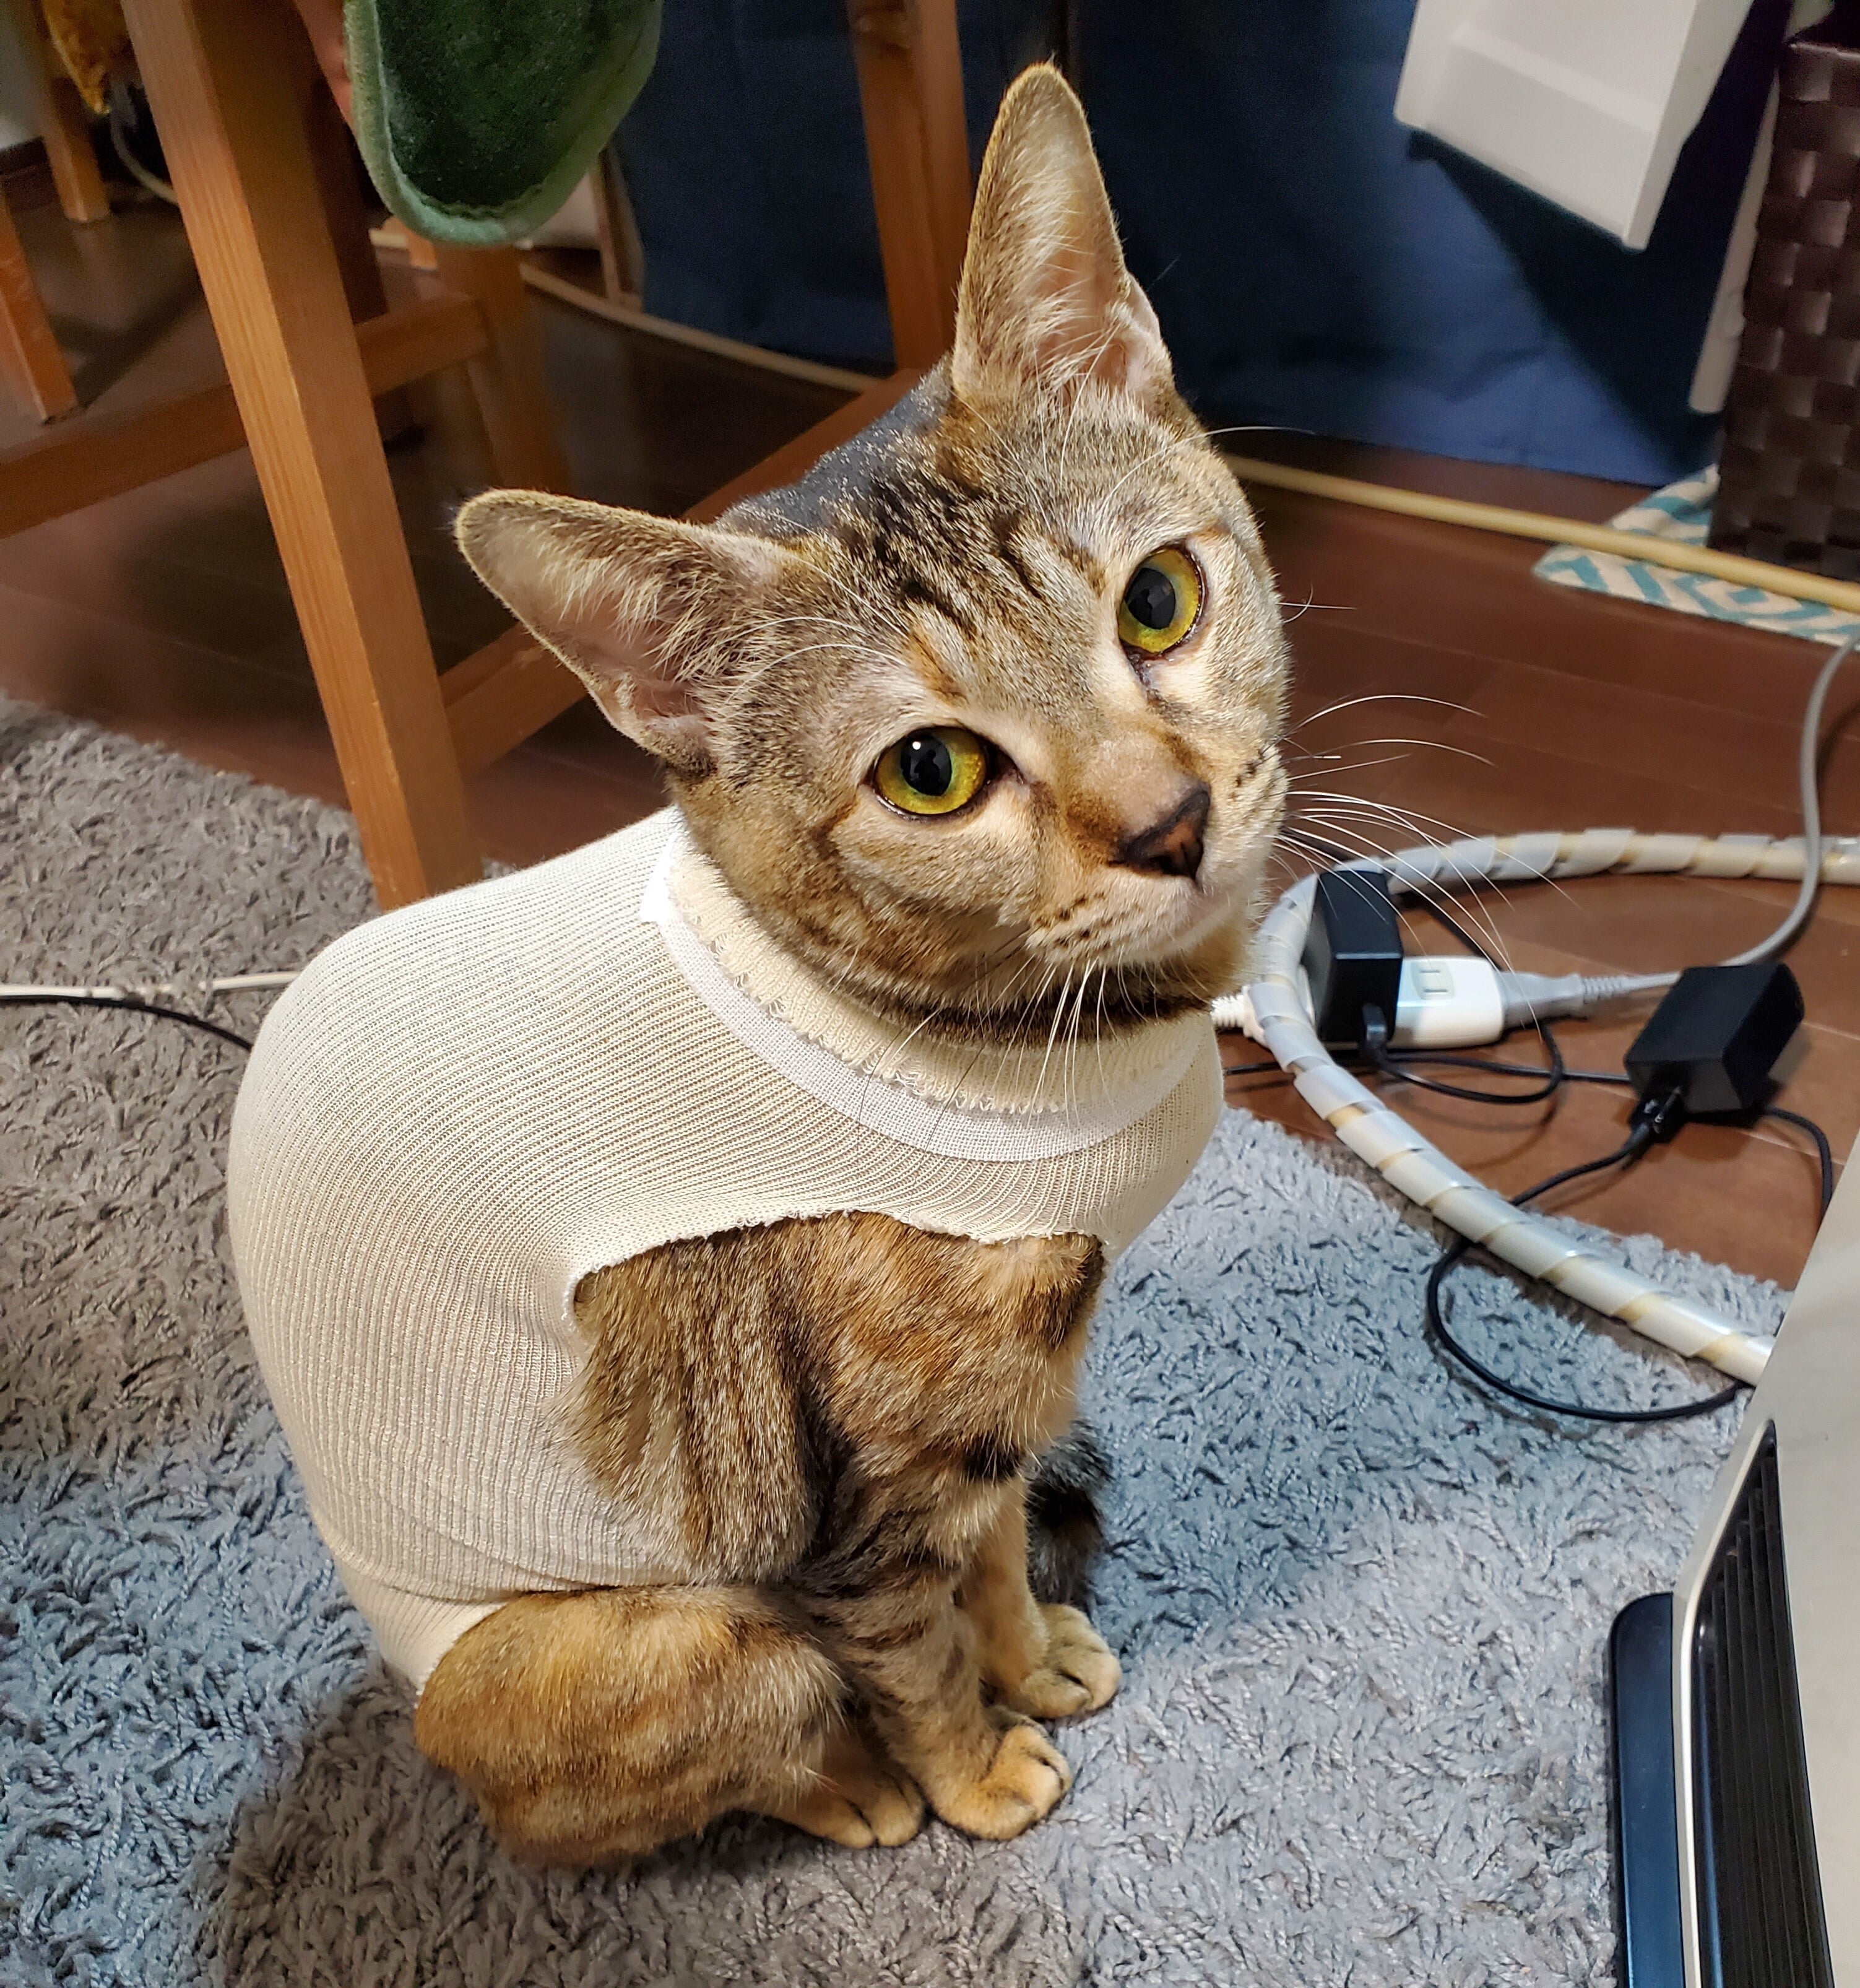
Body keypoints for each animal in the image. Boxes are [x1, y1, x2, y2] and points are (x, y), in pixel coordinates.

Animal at [225, 63, 1288, 1864]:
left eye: (1158, 600)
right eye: (930, 773)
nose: (1168, 823)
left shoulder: (991, 1419)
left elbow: (992, 1550)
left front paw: (1033, 1654)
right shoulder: (850, 1484)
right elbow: (912, 1637)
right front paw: (972, 1767)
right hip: (639, 1645)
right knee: (744, 1729)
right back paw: (855, 1791)